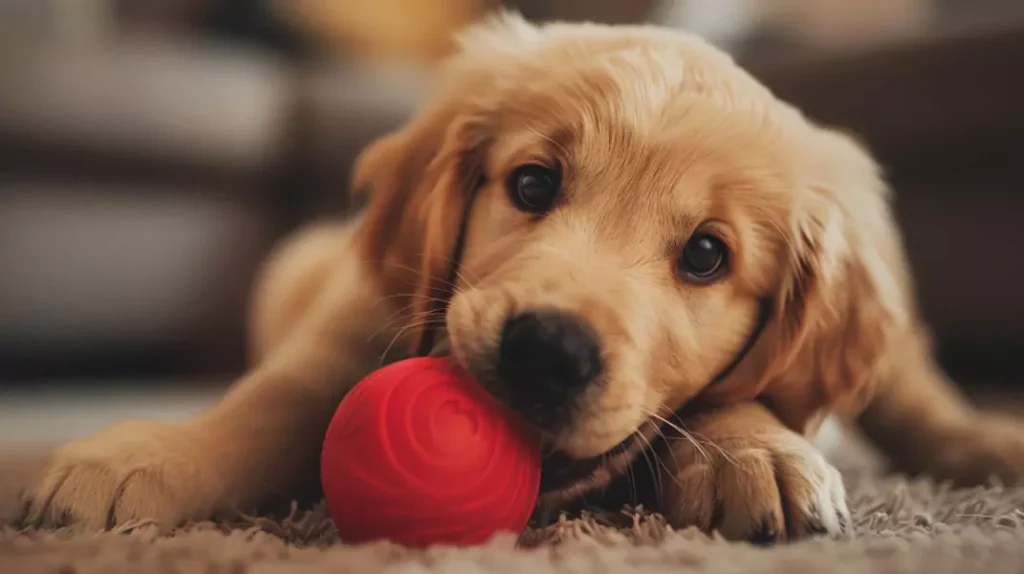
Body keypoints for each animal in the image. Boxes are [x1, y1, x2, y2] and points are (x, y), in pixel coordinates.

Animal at [18, 14, 1024, 540]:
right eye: (533, 184)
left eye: (707, 254)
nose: (548, 349)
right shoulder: (353, 321)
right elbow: (268, 403)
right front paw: (143, 457)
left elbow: (748, 393)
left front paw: (756, 454)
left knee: (916, 392)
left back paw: (991, 440)